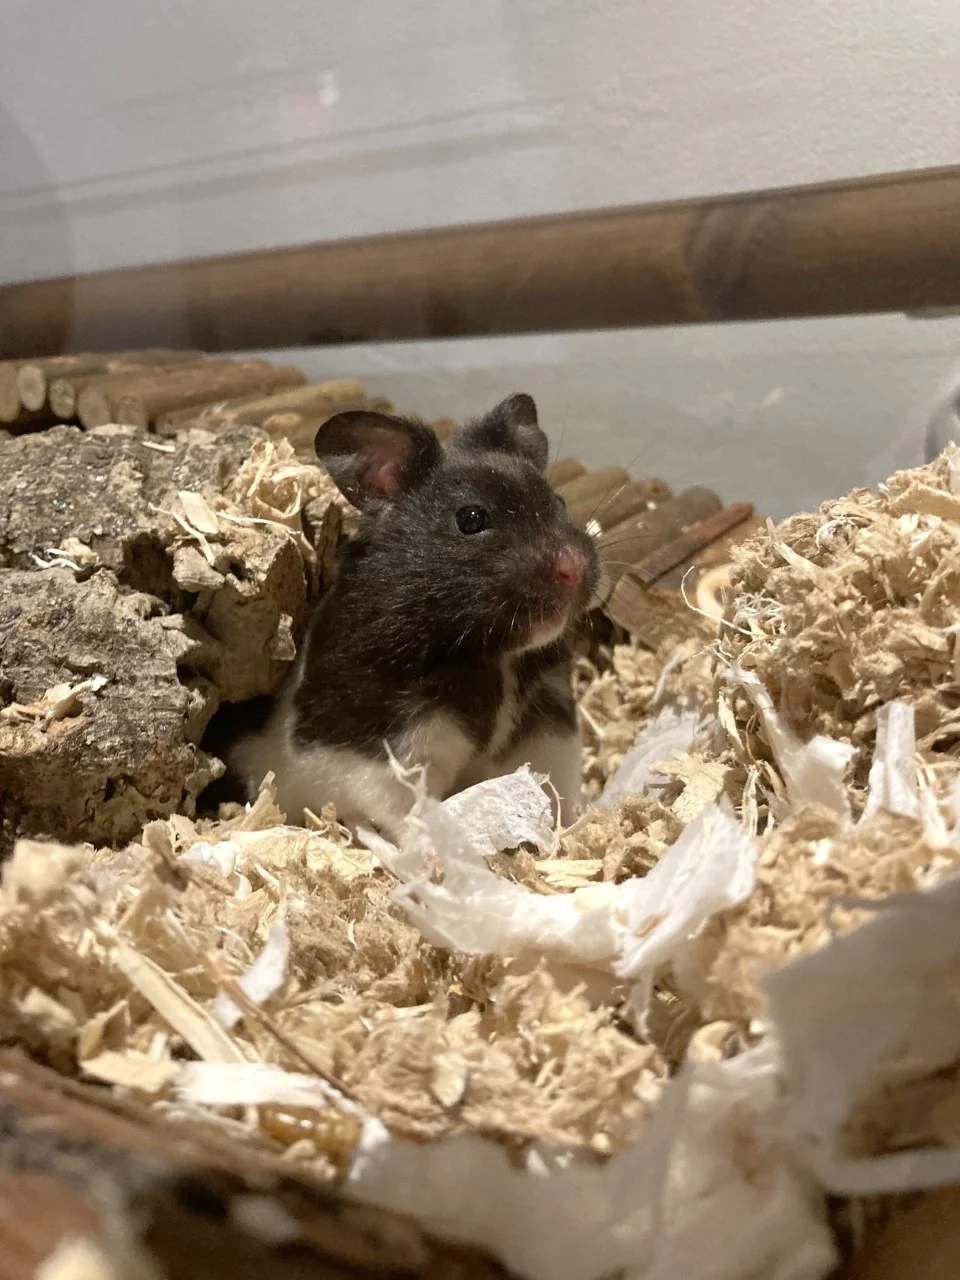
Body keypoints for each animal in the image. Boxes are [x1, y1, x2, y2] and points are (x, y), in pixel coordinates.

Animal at [225, 393, 599, 841]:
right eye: (472, 519)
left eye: (559, 503)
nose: (574, 568)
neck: (491, 653)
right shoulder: (390, 754)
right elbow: (406, 811)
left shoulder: (546, 728)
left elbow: (552, 784)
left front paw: (567, 828)